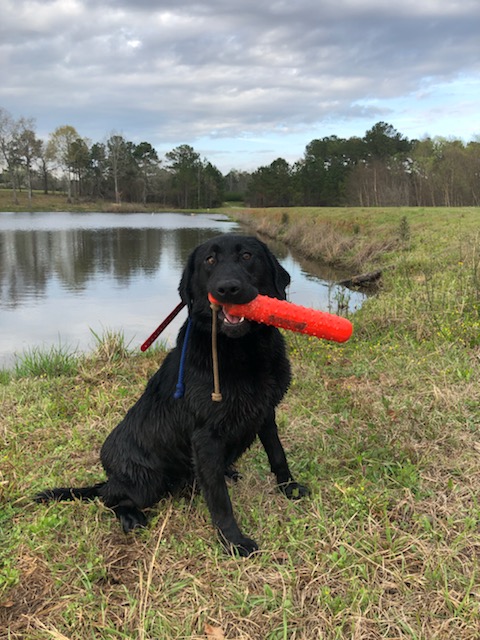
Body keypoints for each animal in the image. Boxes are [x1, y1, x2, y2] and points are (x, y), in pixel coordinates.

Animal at [36, 234, 308, 556]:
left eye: (246, 256)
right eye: (210, 260)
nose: (227, 288)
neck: (242, 351)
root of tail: (109, 476)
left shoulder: (265, 413)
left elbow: (278, 455)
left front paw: (289, 488)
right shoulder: (205, 435)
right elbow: (219, 499)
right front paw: (233, 540)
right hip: (147, 482)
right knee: (111, 498)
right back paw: (131, 517)